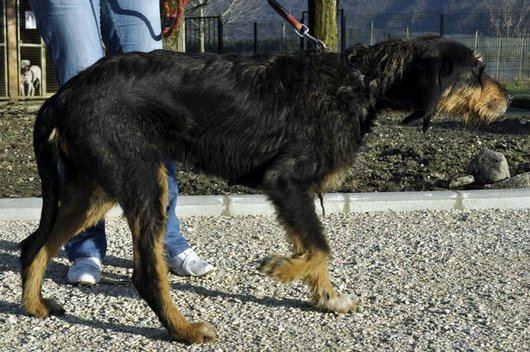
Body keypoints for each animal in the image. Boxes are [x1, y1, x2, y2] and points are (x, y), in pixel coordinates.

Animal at [19, 36, 508, 344]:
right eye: (476, 71)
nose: (505, 101)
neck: (361, 82)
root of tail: (61, 95)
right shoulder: (287, 181)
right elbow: (320, 246)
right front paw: (281, 268)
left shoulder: (294, 192)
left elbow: (312, 245)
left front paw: (326, 297)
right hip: (142, 181)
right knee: (144, 274)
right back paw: (184, 331)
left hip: (94, 189)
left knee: (34, 245)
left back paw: (34, 306)